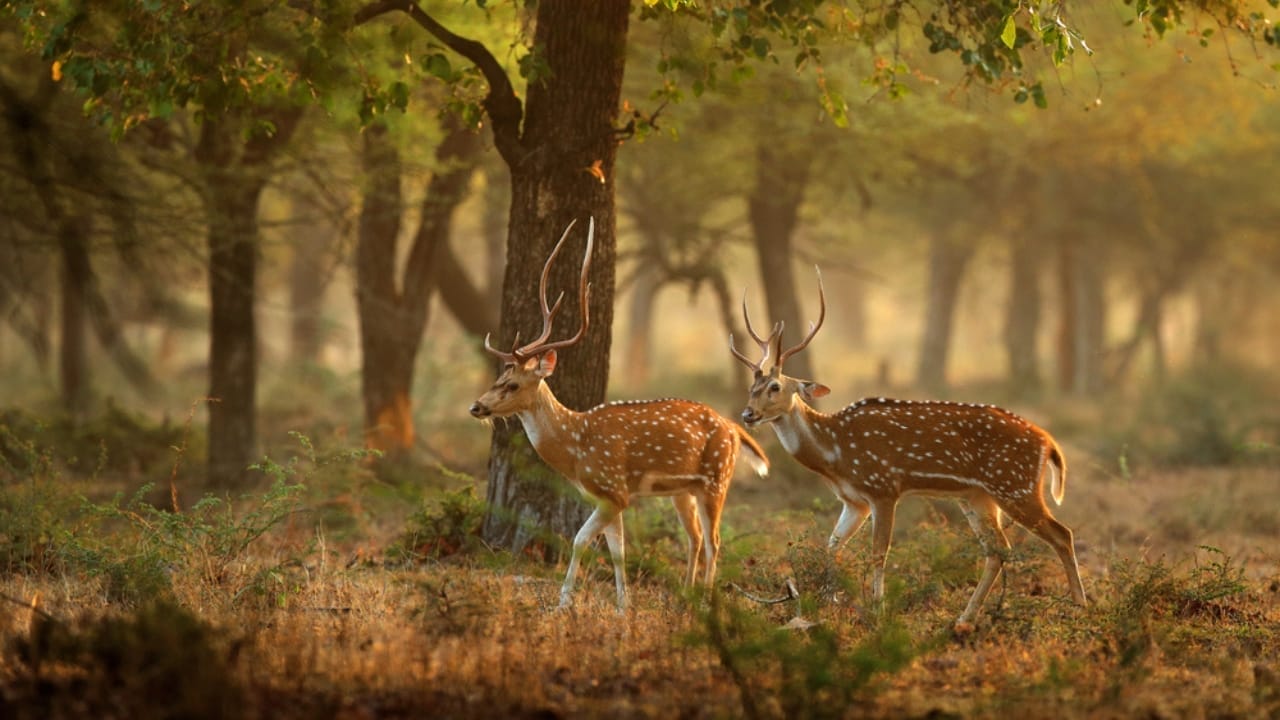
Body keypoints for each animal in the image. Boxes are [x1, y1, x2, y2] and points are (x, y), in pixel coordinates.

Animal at [469, 218, 769, 611]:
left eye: (514, 384)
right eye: (499, 377)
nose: (476, 406)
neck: (576, 447)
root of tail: (734, 427)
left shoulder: (614, 490)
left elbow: (580, 540)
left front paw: (563, 603)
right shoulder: (608, 496)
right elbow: (618, 552)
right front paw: (623, 606)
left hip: (716, 479)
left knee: (714, 540)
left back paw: (705, 600)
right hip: (683, 489)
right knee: (696, 537)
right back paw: (687, 594)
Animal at [729, 268, 1087, 632]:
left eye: (775, 387)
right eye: (752, 386)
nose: (747, 414)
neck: (836, 453)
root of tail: (1049, 444)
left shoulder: (884, 487)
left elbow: (879, 552)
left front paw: (877, 610)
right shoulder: (854, 501)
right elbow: (832, 545)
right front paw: (828, 604)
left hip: (1015, 485)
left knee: (1062, 534)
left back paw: (1079, 608)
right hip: (978, 496)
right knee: (998, 549)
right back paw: (964, 618)